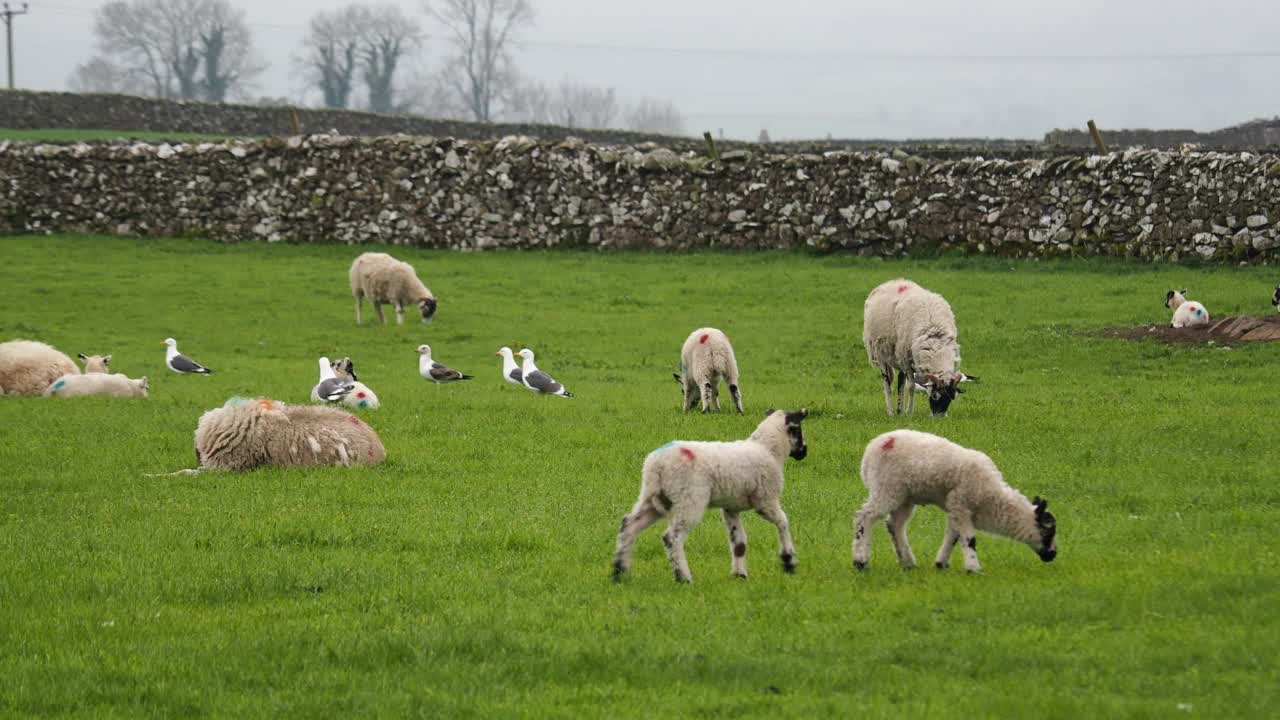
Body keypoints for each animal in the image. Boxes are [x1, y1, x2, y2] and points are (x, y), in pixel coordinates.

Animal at [611, 407, 808, 579]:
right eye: (798, 430)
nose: (804, 452)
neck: (769, 449)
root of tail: (657, 463)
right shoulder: (766, 499)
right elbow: (783, 522)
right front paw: (789, 561)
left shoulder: (730, 507)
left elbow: (739, 542)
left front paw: (740, 575)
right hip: (690, 498)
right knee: (672, 537)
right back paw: (683, 577)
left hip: (653, 497)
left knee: (629, 525)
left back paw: (619, 572)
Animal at [855, 427, 1054, 573]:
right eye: (1048, 532)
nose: (1053, 555)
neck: (992, 498)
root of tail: (872, 448)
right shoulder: (961, 503)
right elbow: (969, 538)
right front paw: (974, 568)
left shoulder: (956, 508)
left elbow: (953, 535)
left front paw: (941, 563)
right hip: (886, 488)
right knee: (864, 516)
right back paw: (860, 560)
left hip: (904, 496)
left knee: (895, 525)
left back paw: (907, 562)